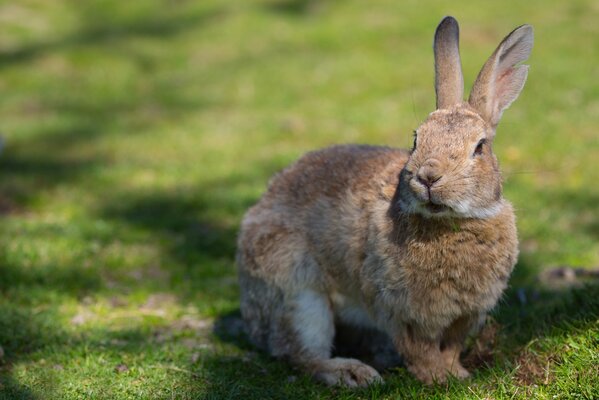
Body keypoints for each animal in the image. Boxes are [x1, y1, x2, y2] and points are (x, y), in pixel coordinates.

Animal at [237, 17, 532, 386]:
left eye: (479, 148)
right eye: (416, 139)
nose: (428, 176)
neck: (449, 224)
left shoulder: (464, 315)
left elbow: (450, 346)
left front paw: (457, 374)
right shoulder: (400, 311)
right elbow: (420, 349)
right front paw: (436, 378)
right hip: (298, 292)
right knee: (302, 353)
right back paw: (352, 373)